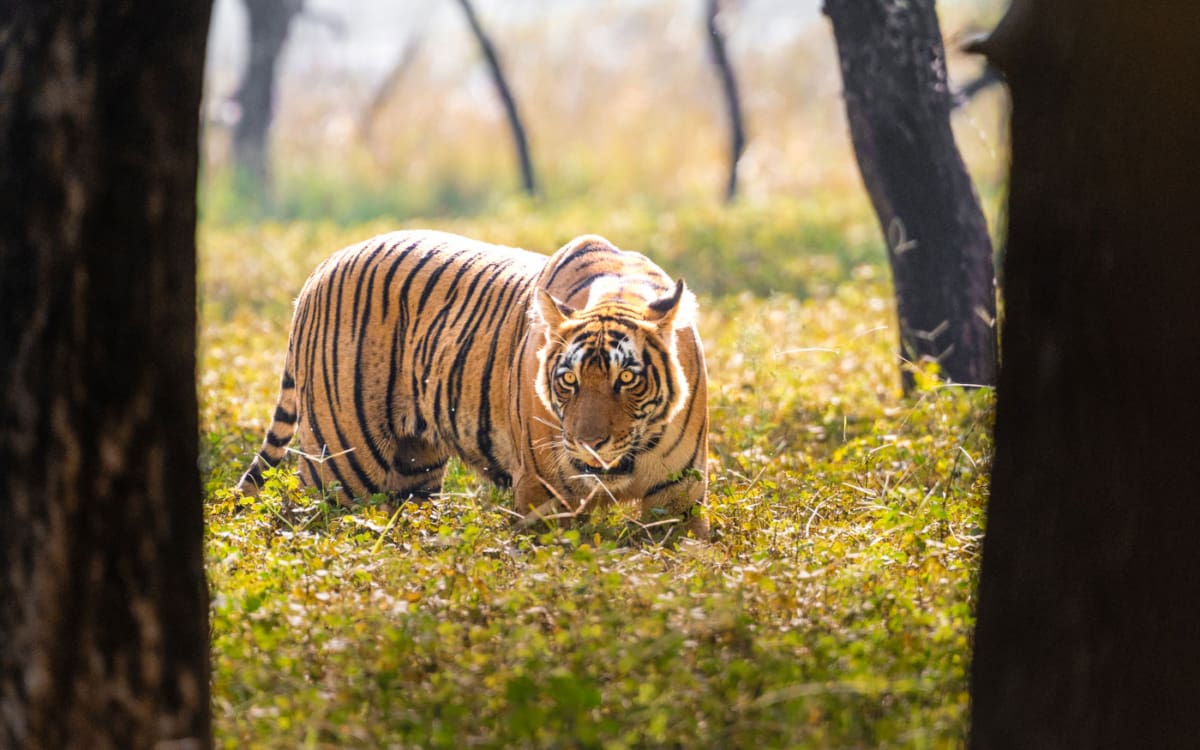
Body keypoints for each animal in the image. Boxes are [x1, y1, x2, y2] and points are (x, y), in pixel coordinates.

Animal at [237, 229, 705, 537]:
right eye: (569, 380)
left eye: (626, 378)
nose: (590, 444)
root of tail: (322, 266)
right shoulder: (543, 494)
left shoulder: (678, 496)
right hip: (342, 468)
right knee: (305, 524)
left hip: (414, 469)